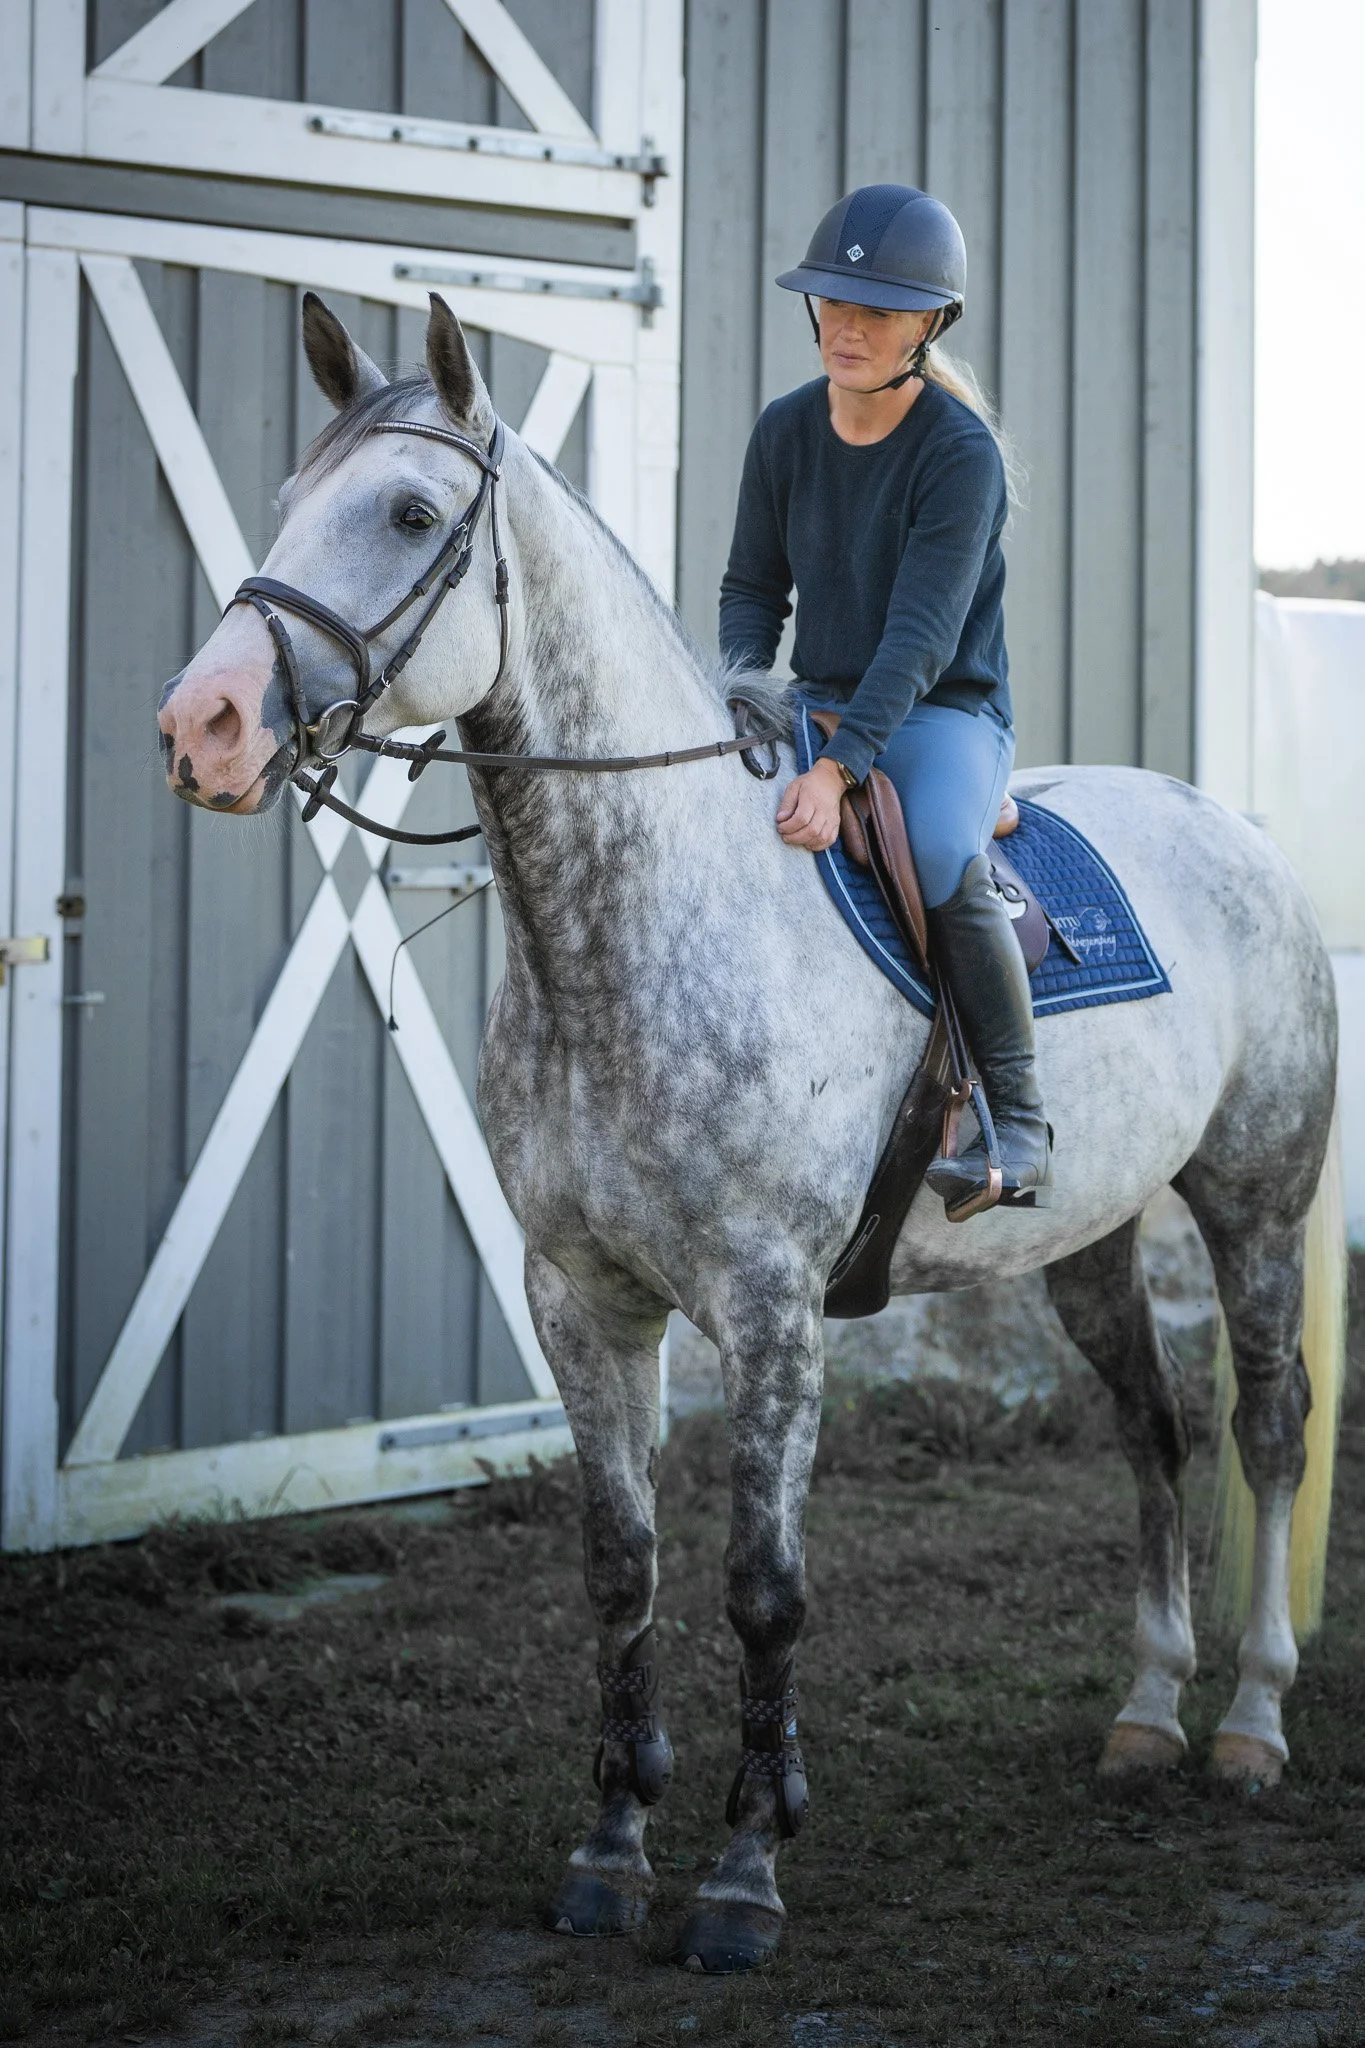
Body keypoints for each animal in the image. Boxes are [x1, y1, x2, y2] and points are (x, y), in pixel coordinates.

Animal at [156, 292, 1345, 1973]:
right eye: (282, 503)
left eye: (408, 515)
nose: (201, 727)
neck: (643, 927)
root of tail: (1234, 828)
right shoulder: (581, 1302)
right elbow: (621, 1568)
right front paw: (610, 1849)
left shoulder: (776, 1314)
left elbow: (763, 1588)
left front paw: (740, 1874)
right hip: (1088, 1245)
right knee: (1151, 1433)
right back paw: (1143, 1714)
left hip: (1252, 1203)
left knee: (1265, 1430)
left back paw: (1248, 1723)